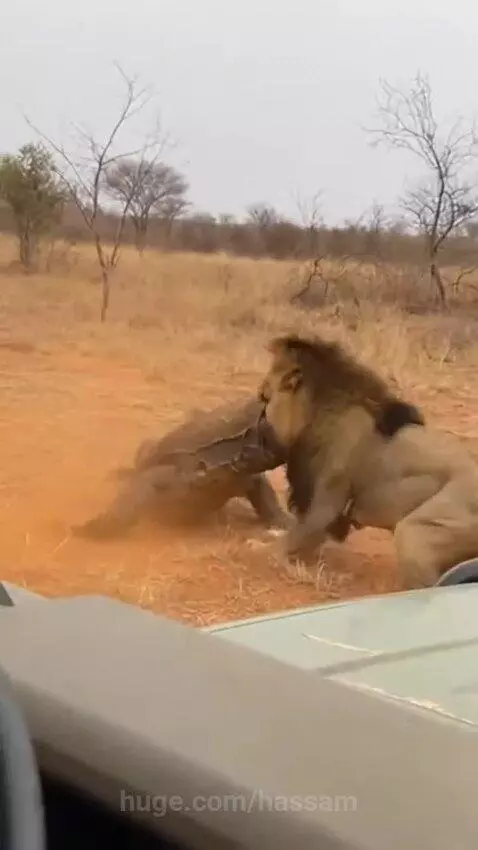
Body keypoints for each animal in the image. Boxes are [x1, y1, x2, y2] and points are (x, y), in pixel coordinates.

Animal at [256, 332, 478, 589]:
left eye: (265, 396)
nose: (260, 398)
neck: (318, 414)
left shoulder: (327, 501)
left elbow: (290, 540)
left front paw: (263, 550)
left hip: (417, 531)